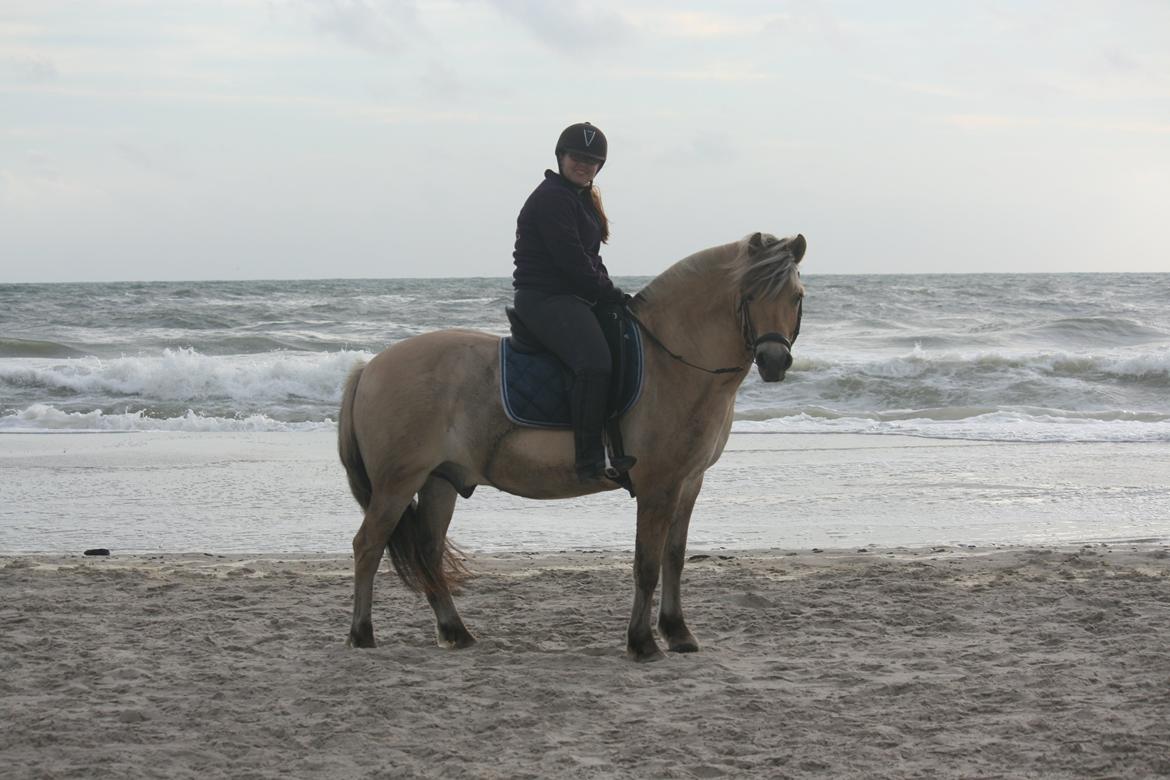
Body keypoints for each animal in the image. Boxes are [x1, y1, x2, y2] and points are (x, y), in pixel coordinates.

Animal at [339, 230, 804, 659]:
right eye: (750, 295)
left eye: (797, 297)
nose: (774, 361)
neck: (673, 361)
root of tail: (369, 367)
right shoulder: (658, 486)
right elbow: (647, 564)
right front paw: (642, 641)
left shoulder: (689, 482)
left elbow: (674, 557)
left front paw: (678, 632)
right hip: (398, 483)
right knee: (367, 546)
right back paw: (362, 634)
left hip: (440, 481)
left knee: (429, 551)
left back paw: (456, 632)